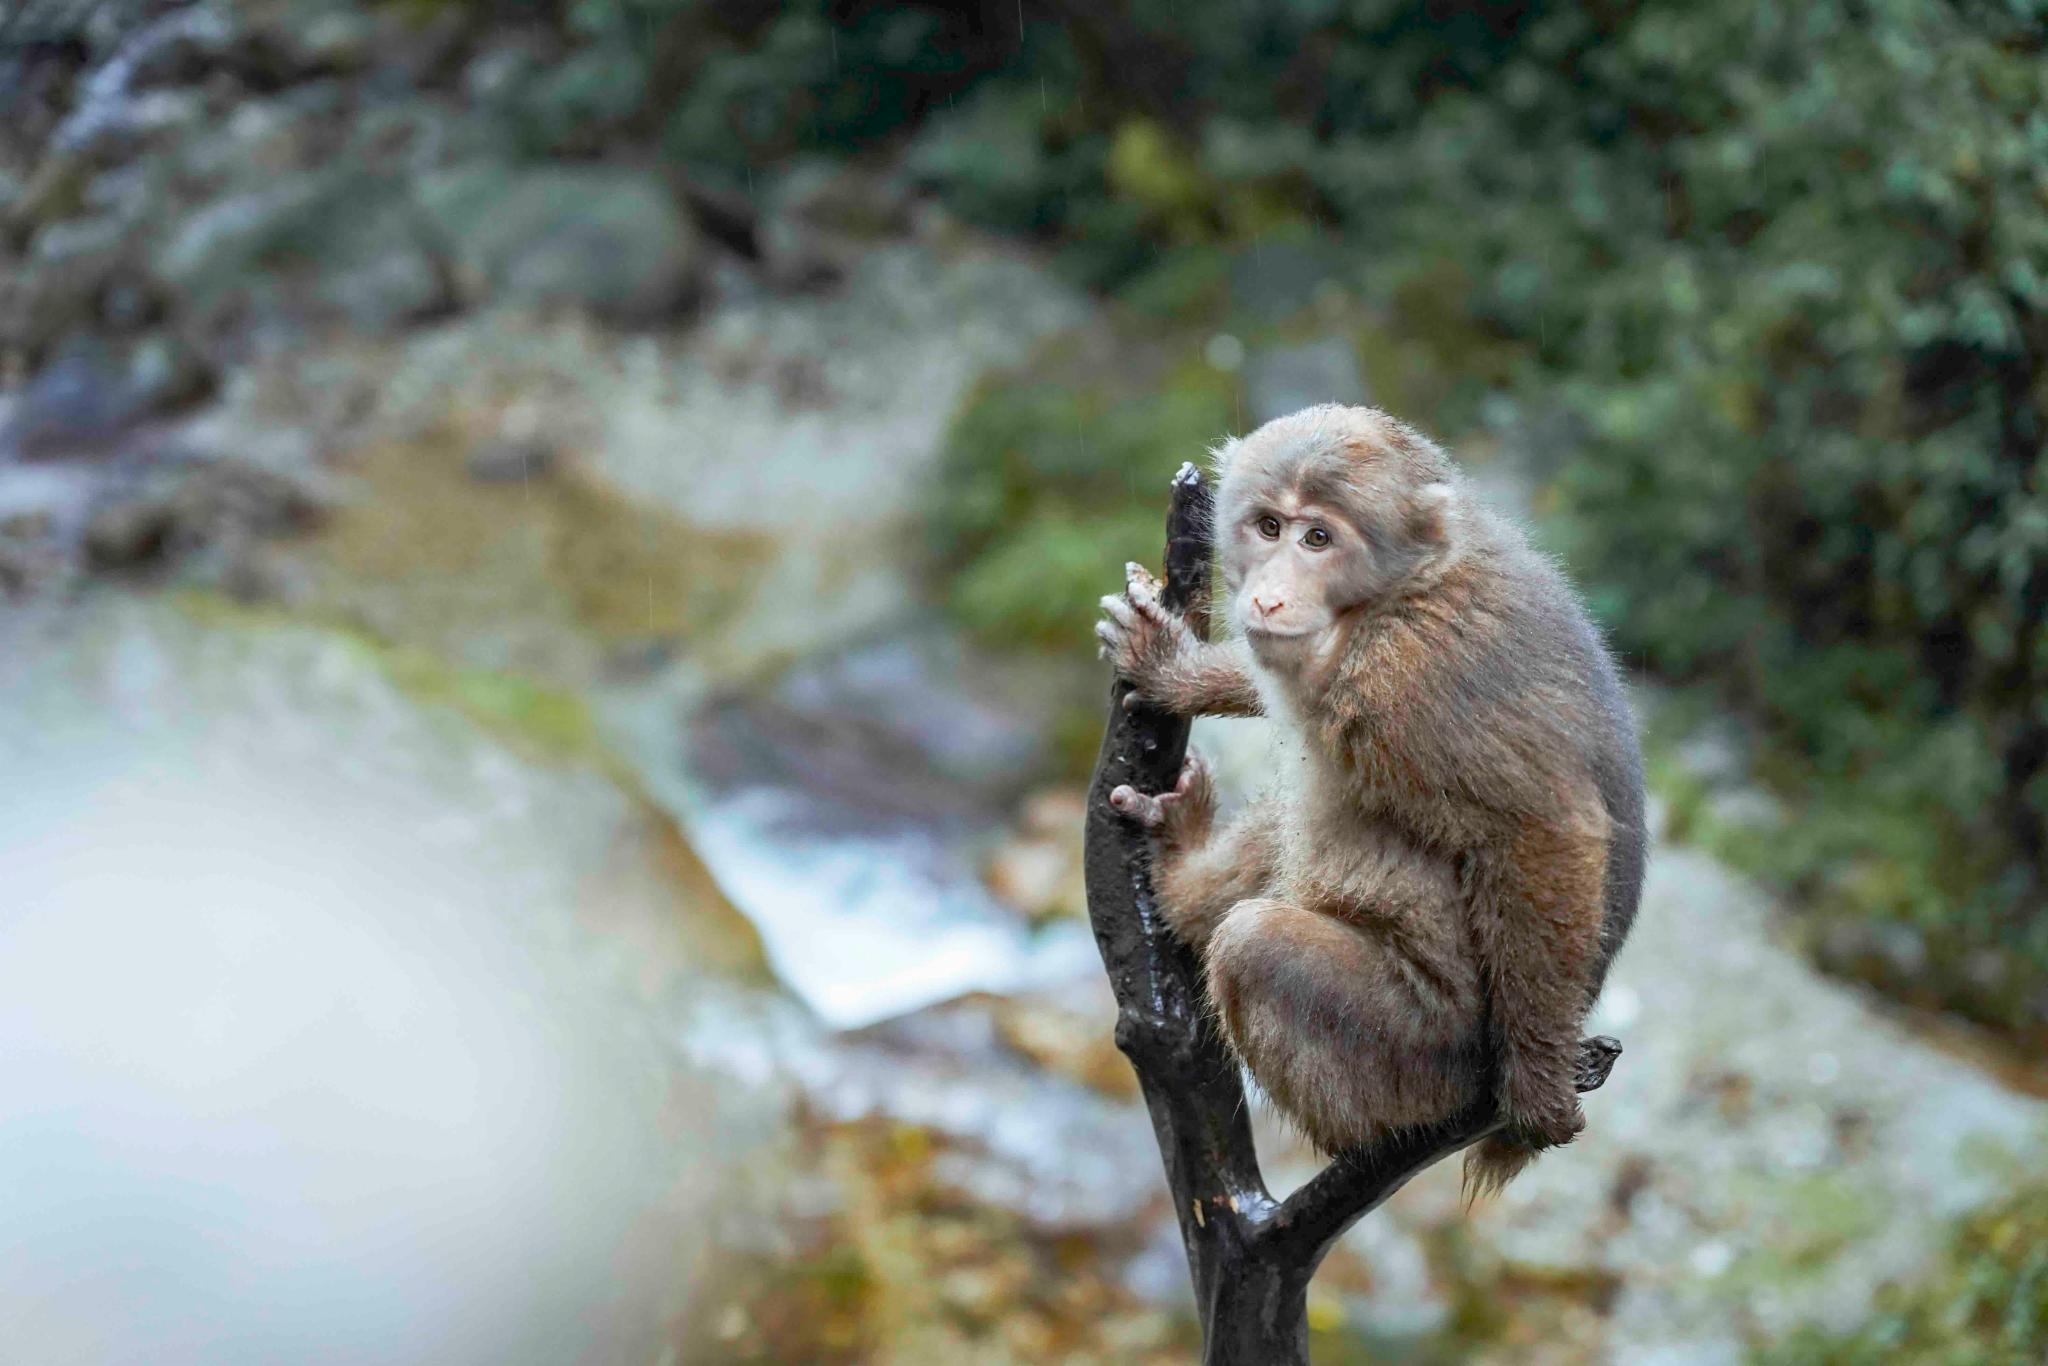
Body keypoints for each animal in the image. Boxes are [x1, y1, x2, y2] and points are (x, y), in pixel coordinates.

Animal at [1089, 401, 1646, 1187]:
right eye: (1270, 526)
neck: (1392, 599)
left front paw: (1537, 1088)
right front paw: (1182, 670)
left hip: (1419, 1054)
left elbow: (1547, 826)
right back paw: (1182, 874)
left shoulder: (1410, 676)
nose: (1269, 594)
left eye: (1319, 538)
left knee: (1259, 940)